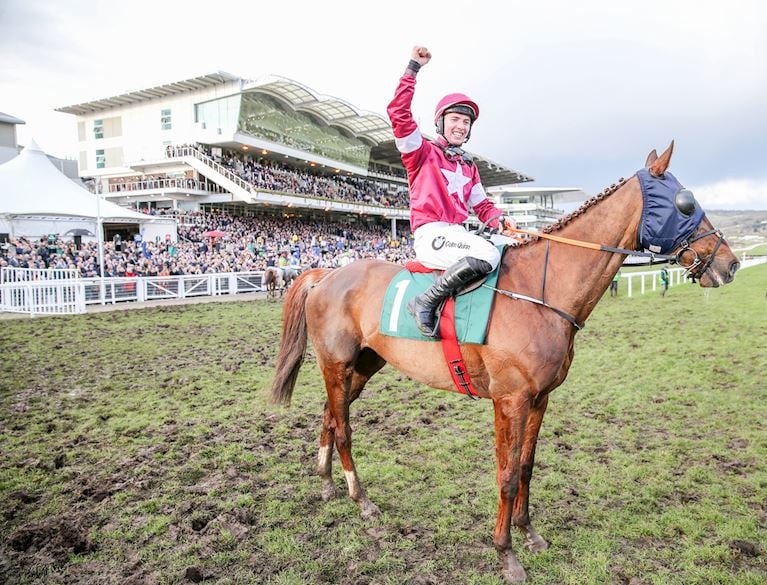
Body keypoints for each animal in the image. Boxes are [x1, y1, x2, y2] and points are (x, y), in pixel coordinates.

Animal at [268, 144, 736, 580]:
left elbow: (526, 466)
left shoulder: (540, 398)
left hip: (363, 366)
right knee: (344, 428)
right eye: (685, 202)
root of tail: (326, 274)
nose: (729, 263)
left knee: (330, 416)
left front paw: (530, 534)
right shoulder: (509, 399)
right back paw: (361, 501)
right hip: (337, 364)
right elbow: (507, 474)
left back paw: (327, 484)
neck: (540, 292)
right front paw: (506, 554)